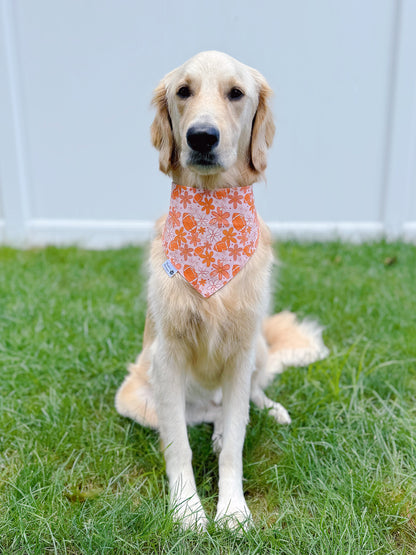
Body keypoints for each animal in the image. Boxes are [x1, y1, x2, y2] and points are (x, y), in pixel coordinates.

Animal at [114, 51, 328, 528]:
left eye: (236, 93)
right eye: (183, 91)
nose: (202, 136)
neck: (211, 217)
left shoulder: (241, 351)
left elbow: (235, 446)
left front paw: (232, 509)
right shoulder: (167, 357)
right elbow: (178, 444)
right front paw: (188, 510)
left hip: (258, 346)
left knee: (247, 399)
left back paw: (267, 411)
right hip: (134, 393)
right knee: (203, 417)